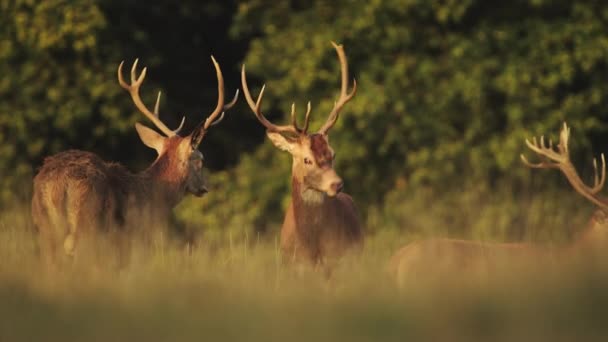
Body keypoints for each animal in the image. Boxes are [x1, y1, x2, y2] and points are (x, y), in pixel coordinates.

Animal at [31, 56, 238, 264]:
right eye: (201, 159)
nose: (204, 188)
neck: (151, 197)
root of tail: (58, 183)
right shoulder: (135, 241)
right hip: (88, 222)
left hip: (44, 227)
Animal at [240, 42, 364, 268]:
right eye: (307, 159)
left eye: (333, 154)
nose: (337, 184)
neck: (312, 247)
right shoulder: (293, 264)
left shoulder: (337, 260)